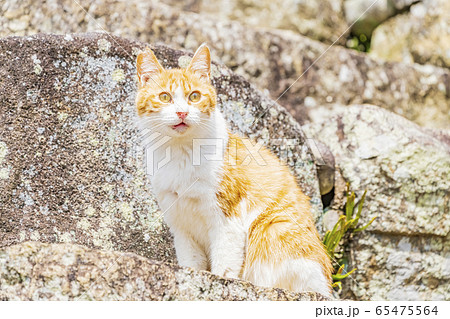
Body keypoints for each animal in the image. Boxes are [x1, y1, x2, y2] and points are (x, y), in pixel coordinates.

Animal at [135, 44, 332, 298]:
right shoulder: (181, 226)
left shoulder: (227, 220)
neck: (180, 154)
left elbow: (225, 264)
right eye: (165, 97)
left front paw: (220, 282)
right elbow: (191, 262)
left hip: (275, 229)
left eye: (194, 96)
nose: (181, 113)